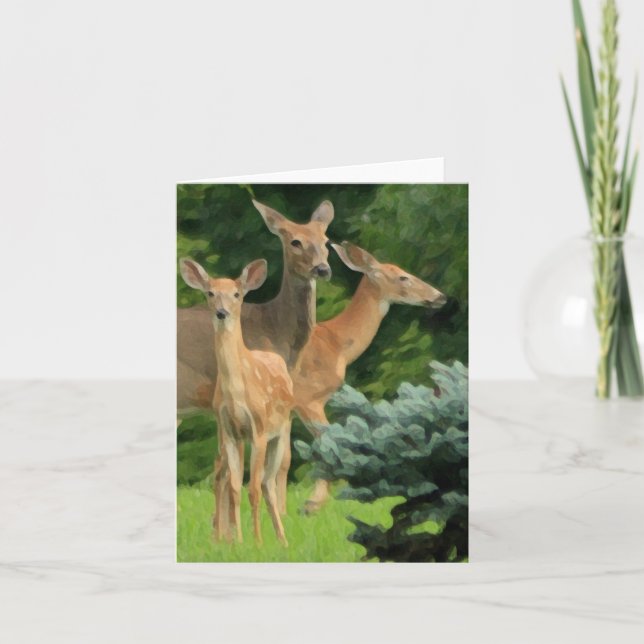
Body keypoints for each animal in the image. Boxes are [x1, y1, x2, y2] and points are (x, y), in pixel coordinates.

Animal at [180, 257, 294, 546]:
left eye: (236, 294)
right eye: (210, 293)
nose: (222, 312)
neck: (236, 391)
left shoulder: (259, 429)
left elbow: (252, 488)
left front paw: (258, 542)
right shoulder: (231, 430)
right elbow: (234, 488)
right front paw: (240, 542)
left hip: (282, 430)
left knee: (268, 481)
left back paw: (282, 539)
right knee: (259, 481)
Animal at [290, 241, 447, 513]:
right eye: (403, 276)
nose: (440, 296)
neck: (337, 345)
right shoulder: (308, 397)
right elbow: (326, 444)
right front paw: (313, 504)